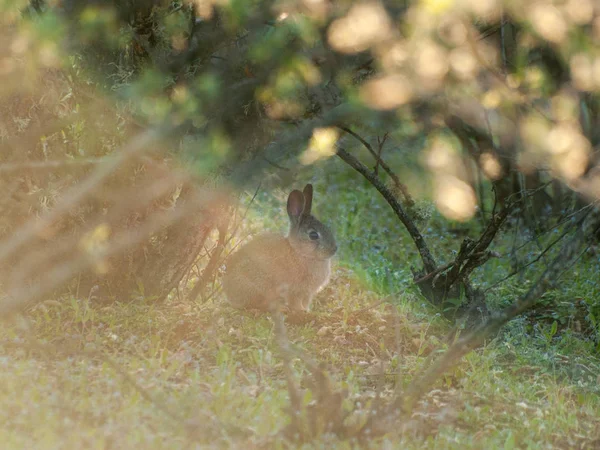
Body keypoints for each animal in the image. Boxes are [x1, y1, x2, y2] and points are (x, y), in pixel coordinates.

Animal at [225, 184, 338, 312]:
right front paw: (301, 311)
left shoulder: (307, 293)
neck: (300, 252)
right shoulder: (295, 290)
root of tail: (228, 291)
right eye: (313, 235)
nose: (334, 249)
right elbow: (295, 301)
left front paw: (306, 310)